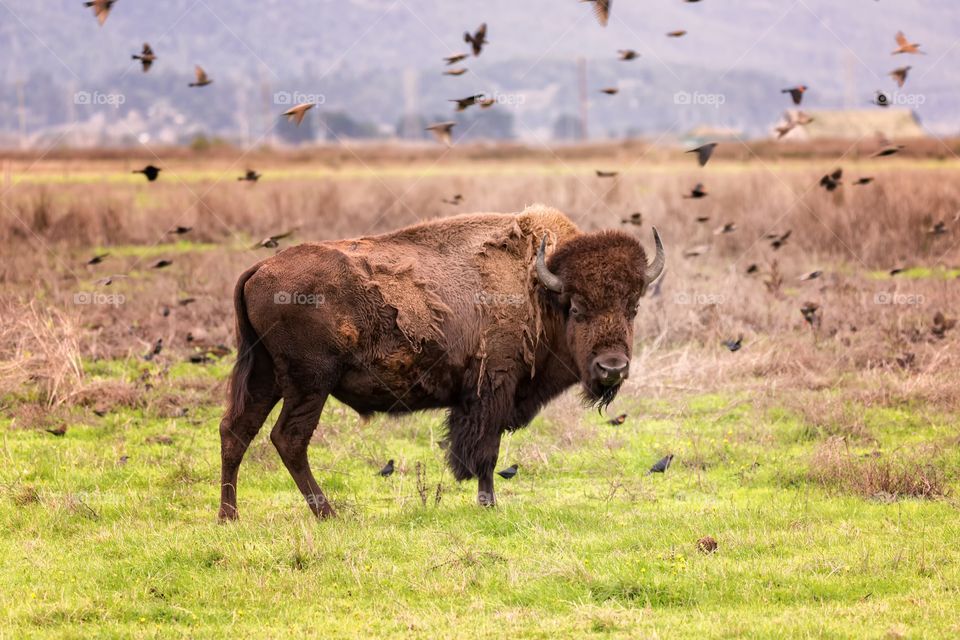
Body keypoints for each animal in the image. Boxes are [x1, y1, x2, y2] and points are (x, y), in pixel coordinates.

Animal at [218, 205, 664, 519]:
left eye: (633, 307)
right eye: (576, 308)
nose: (612, 368)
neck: (538, 287)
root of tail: (259, 268)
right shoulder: (492, 389)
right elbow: (486, 452)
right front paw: (488, 503)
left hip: (266, 377)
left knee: (236, 431)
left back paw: (229, 517)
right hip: (309, 383)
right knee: (288, 438)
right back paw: (328, 513)